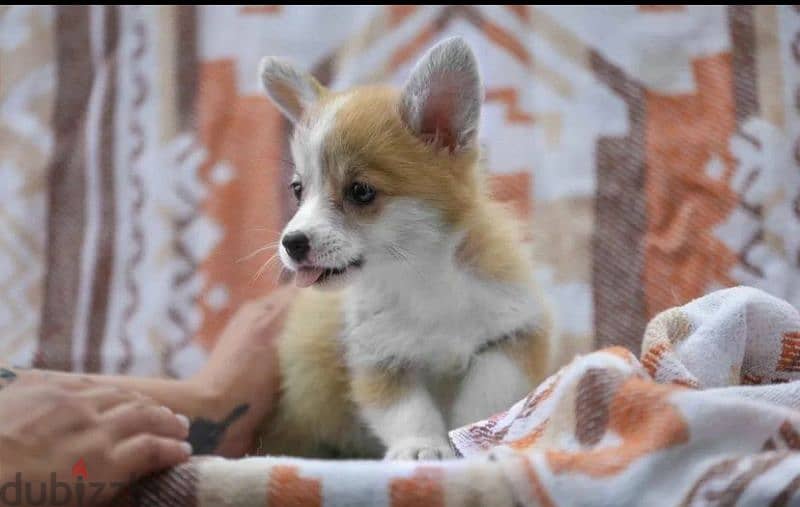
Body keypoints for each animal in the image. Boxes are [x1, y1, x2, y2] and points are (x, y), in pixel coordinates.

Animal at [260, 37, 552, 462]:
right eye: (298, 190)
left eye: (360, 191)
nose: (292, 243)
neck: (423, 276)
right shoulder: (379, 358)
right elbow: (407, 411)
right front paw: (421, 448)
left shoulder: (516, 333)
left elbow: (484, 392)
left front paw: (471, 436)